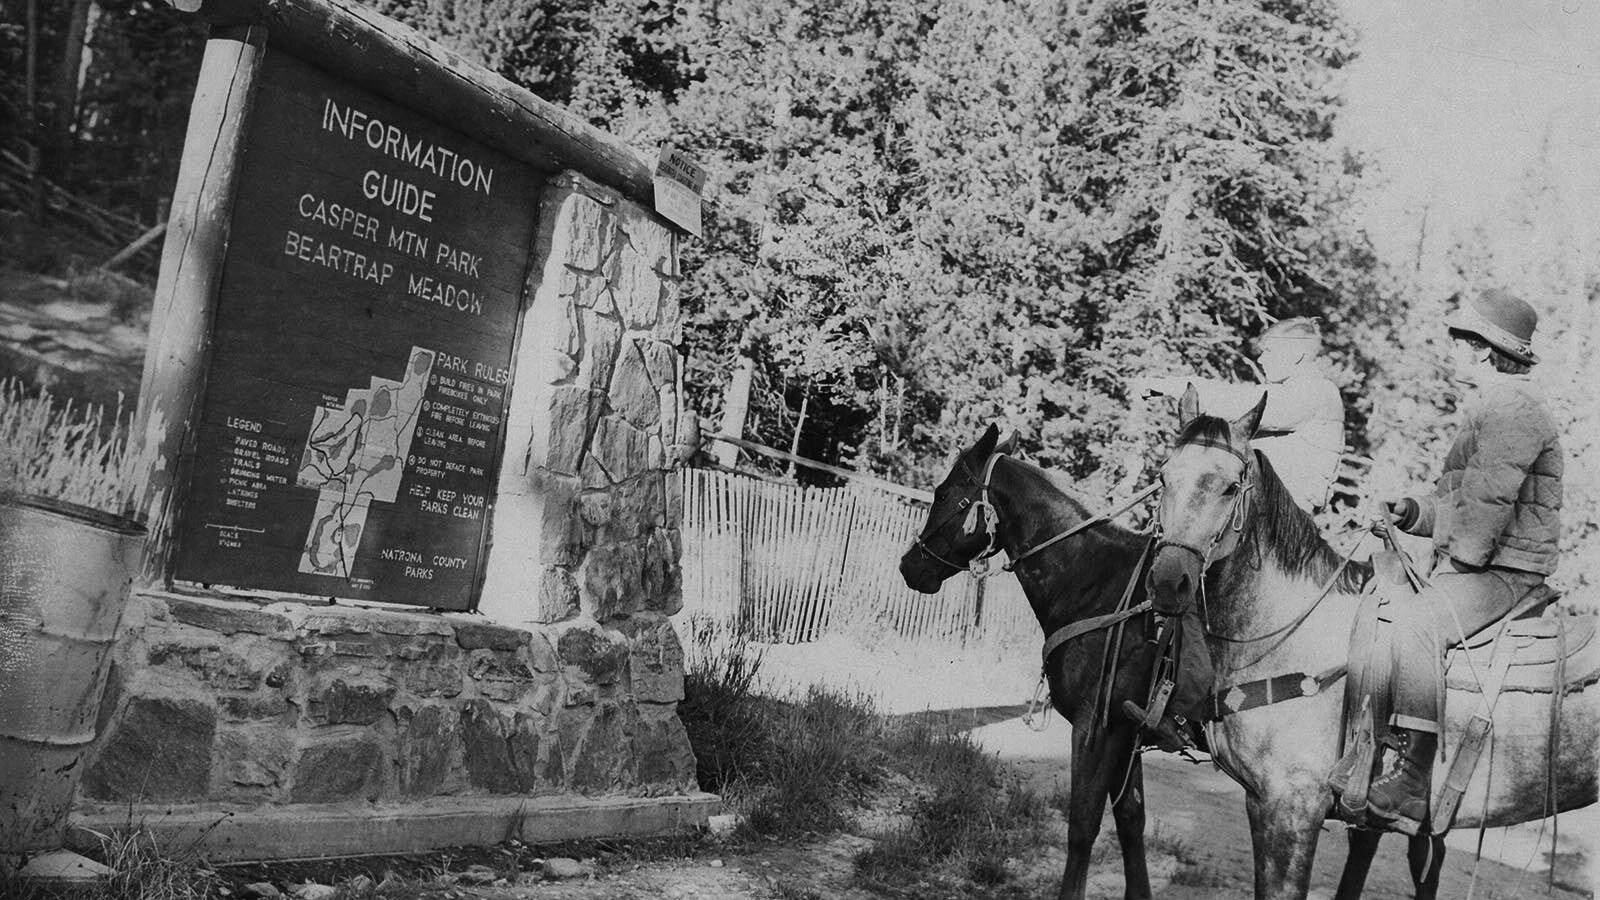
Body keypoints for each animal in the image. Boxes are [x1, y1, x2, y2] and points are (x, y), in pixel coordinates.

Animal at [1145, 387, 1593, 896]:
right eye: (1164, 477)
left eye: (1227, 487)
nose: (1168, 582)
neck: (1292, 632)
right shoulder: (1261, 804)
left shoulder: (1293, 808)